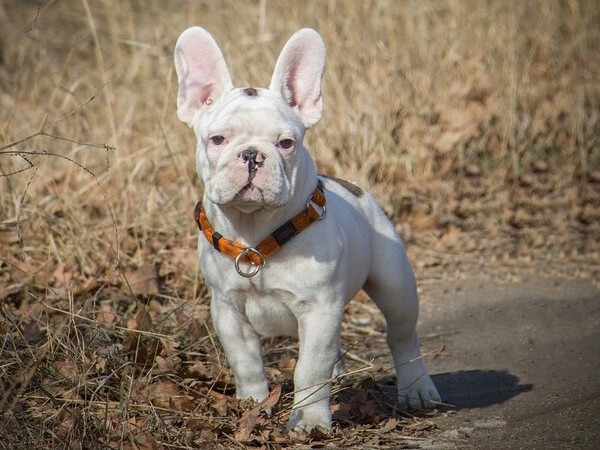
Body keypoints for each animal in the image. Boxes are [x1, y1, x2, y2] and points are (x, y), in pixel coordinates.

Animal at [173, 27, 440, 432]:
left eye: (286, 143)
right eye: (217, 140)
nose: (252, 154)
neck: (256, 236)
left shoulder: (318, 310)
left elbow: (310, 369)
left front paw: (310, 421)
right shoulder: (228, 311)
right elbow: (246, 363)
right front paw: (252, 406)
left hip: (395, 285)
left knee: (402, 336)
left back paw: (416, 388)